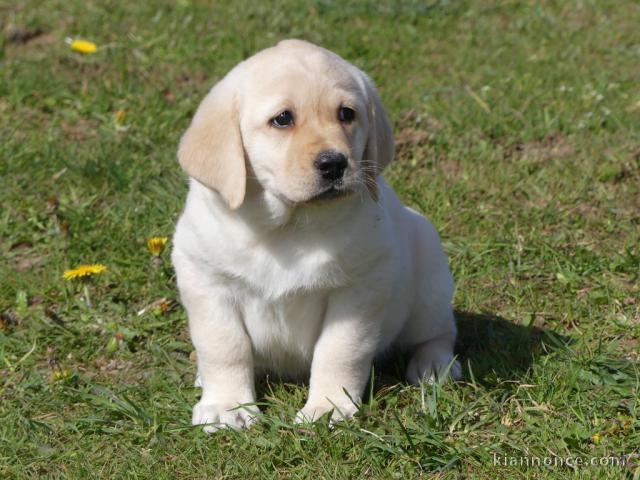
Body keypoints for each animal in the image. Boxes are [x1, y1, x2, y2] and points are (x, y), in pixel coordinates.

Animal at [172, 40, 458, 432]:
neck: (287, 225)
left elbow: (339, 350)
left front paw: (328, 406)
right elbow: (224, 347)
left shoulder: (360, 287)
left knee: (439, 334)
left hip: (430, 284)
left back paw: (434, 366)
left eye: (347, 114)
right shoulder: (206, 280)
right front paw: (226, 405)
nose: (334, 163)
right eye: (282, 119)